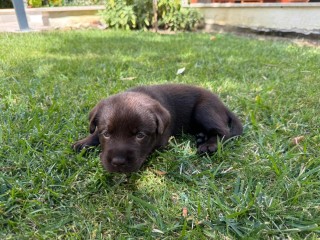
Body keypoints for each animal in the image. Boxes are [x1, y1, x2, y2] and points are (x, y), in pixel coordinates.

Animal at [72, 84, 242, 172]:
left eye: (140, 135)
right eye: (106, 134)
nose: (118, 162)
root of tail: (223, 105)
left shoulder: (161, 141)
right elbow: (94, 132)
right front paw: (83, 142)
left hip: (204, 109)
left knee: (223, 131)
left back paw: (209, 144)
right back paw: (201, 136)